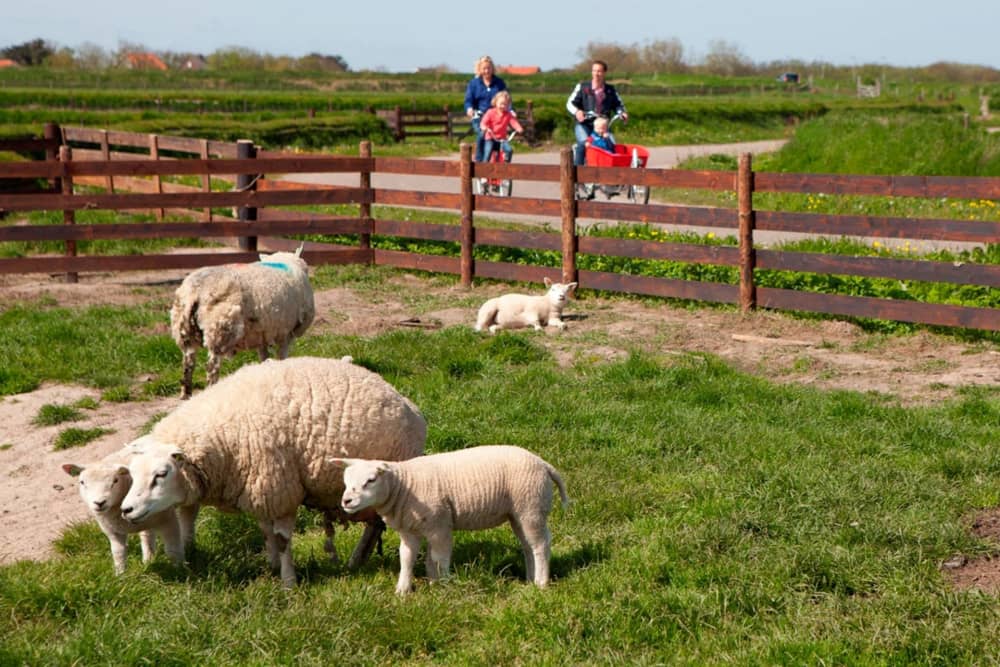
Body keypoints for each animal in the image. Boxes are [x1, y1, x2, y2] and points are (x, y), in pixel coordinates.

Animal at [120, 356, 427, 587]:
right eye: (133, 475)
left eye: (161, 474)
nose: (126, 510)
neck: (220, 436)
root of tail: (407, 404)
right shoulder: (260, 487)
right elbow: (266, 532)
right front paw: (271, 565)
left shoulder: (279, 488)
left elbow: (282, 540)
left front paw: (288, 581)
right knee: (375, 525)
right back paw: (357, 561)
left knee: (377, 525)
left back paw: (357, 560)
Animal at [171, 246, 315, 399]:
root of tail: (195, 291)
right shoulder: (286, 334)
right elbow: (282, 357)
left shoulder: (262, 334)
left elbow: (264, 357)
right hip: (219, 330)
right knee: (211, 367)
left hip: (184, 331)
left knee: (188, 365)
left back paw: (186, 395)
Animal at [333, 445, 569, 595]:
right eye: (346, 481)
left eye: (371, 480)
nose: (346, 501)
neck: (404, 487)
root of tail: (544, 464)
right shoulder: (411, 530)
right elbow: (407, 558)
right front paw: (403, 590)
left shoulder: (440, 525)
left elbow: (439, 558)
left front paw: (443, 586)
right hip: (518, 513)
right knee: (528, 546)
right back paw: (530, 580)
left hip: (531, 506)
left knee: (540, 545)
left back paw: (541, 583)